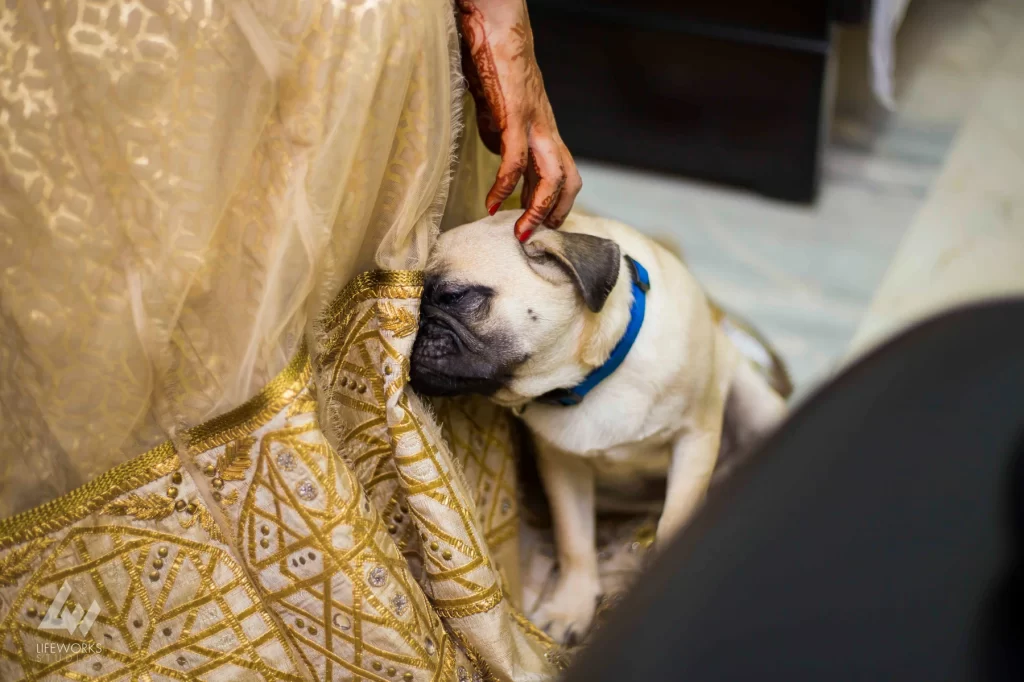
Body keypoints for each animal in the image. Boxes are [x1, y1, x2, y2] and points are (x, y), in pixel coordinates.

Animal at [407, 210, 782, 643]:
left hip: (756, 407)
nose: (414, 325)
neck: (594, 377)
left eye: (456, 297)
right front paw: (571, 609)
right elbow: (575, 544)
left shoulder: (695, 439)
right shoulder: (564, 467)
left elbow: (674, 521)